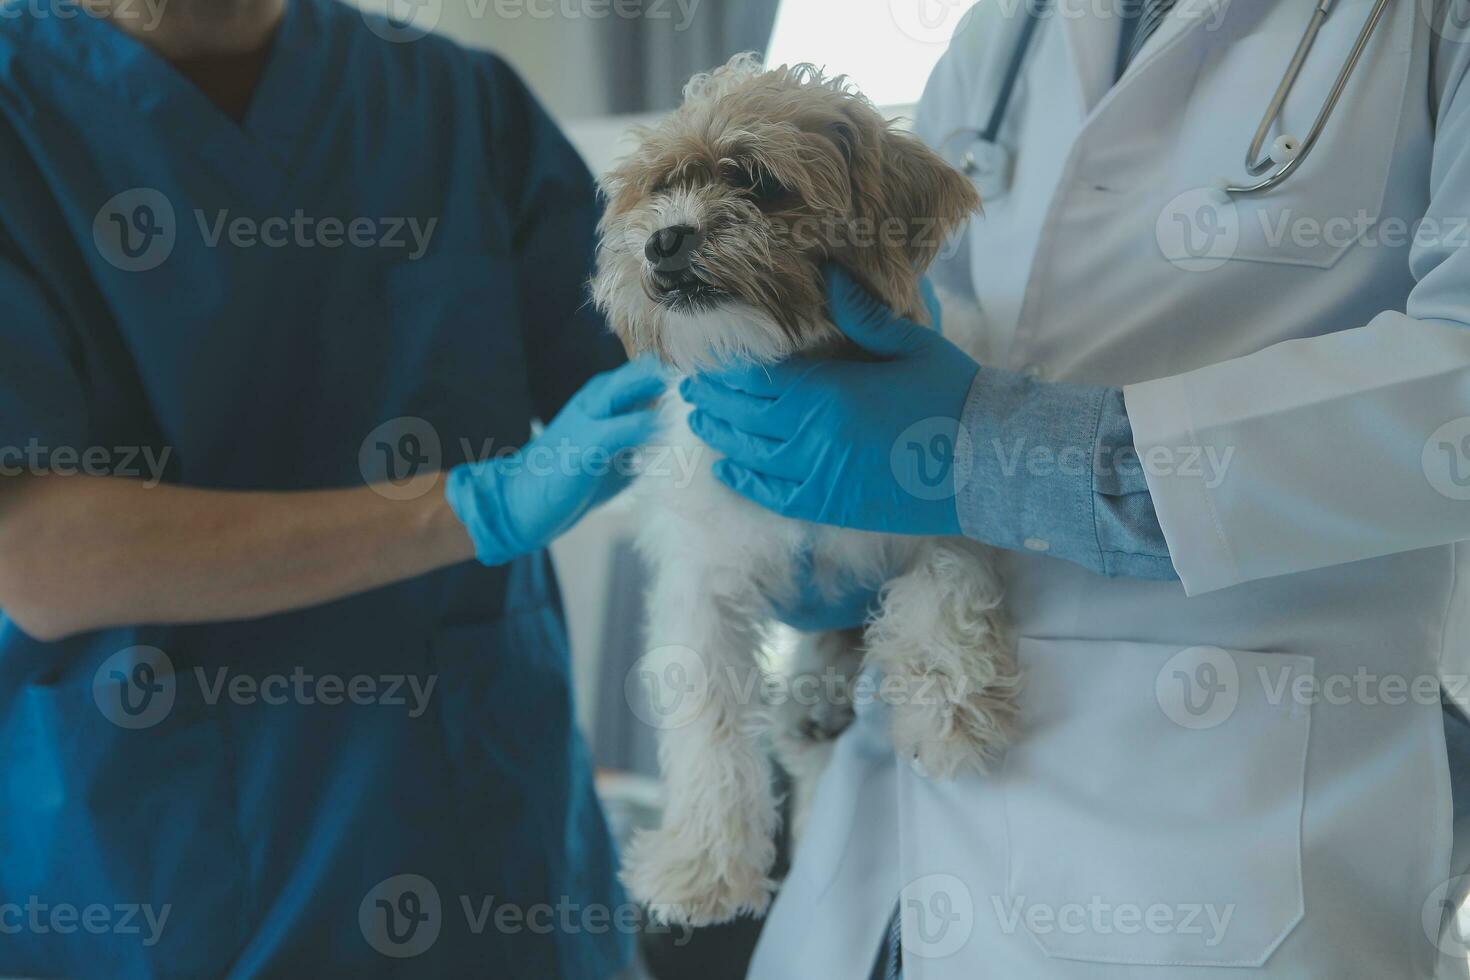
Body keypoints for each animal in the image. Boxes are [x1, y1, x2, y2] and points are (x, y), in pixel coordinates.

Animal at [590, 53, 1017, 928]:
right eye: (656, 187)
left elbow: (946, 592)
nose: (664, 239)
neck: (798, 372)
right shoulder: (705, 581)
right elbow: (710, 728)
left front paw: (951, 712)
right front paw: (703, 868)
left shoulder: (940, 507)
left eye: (757, 180)